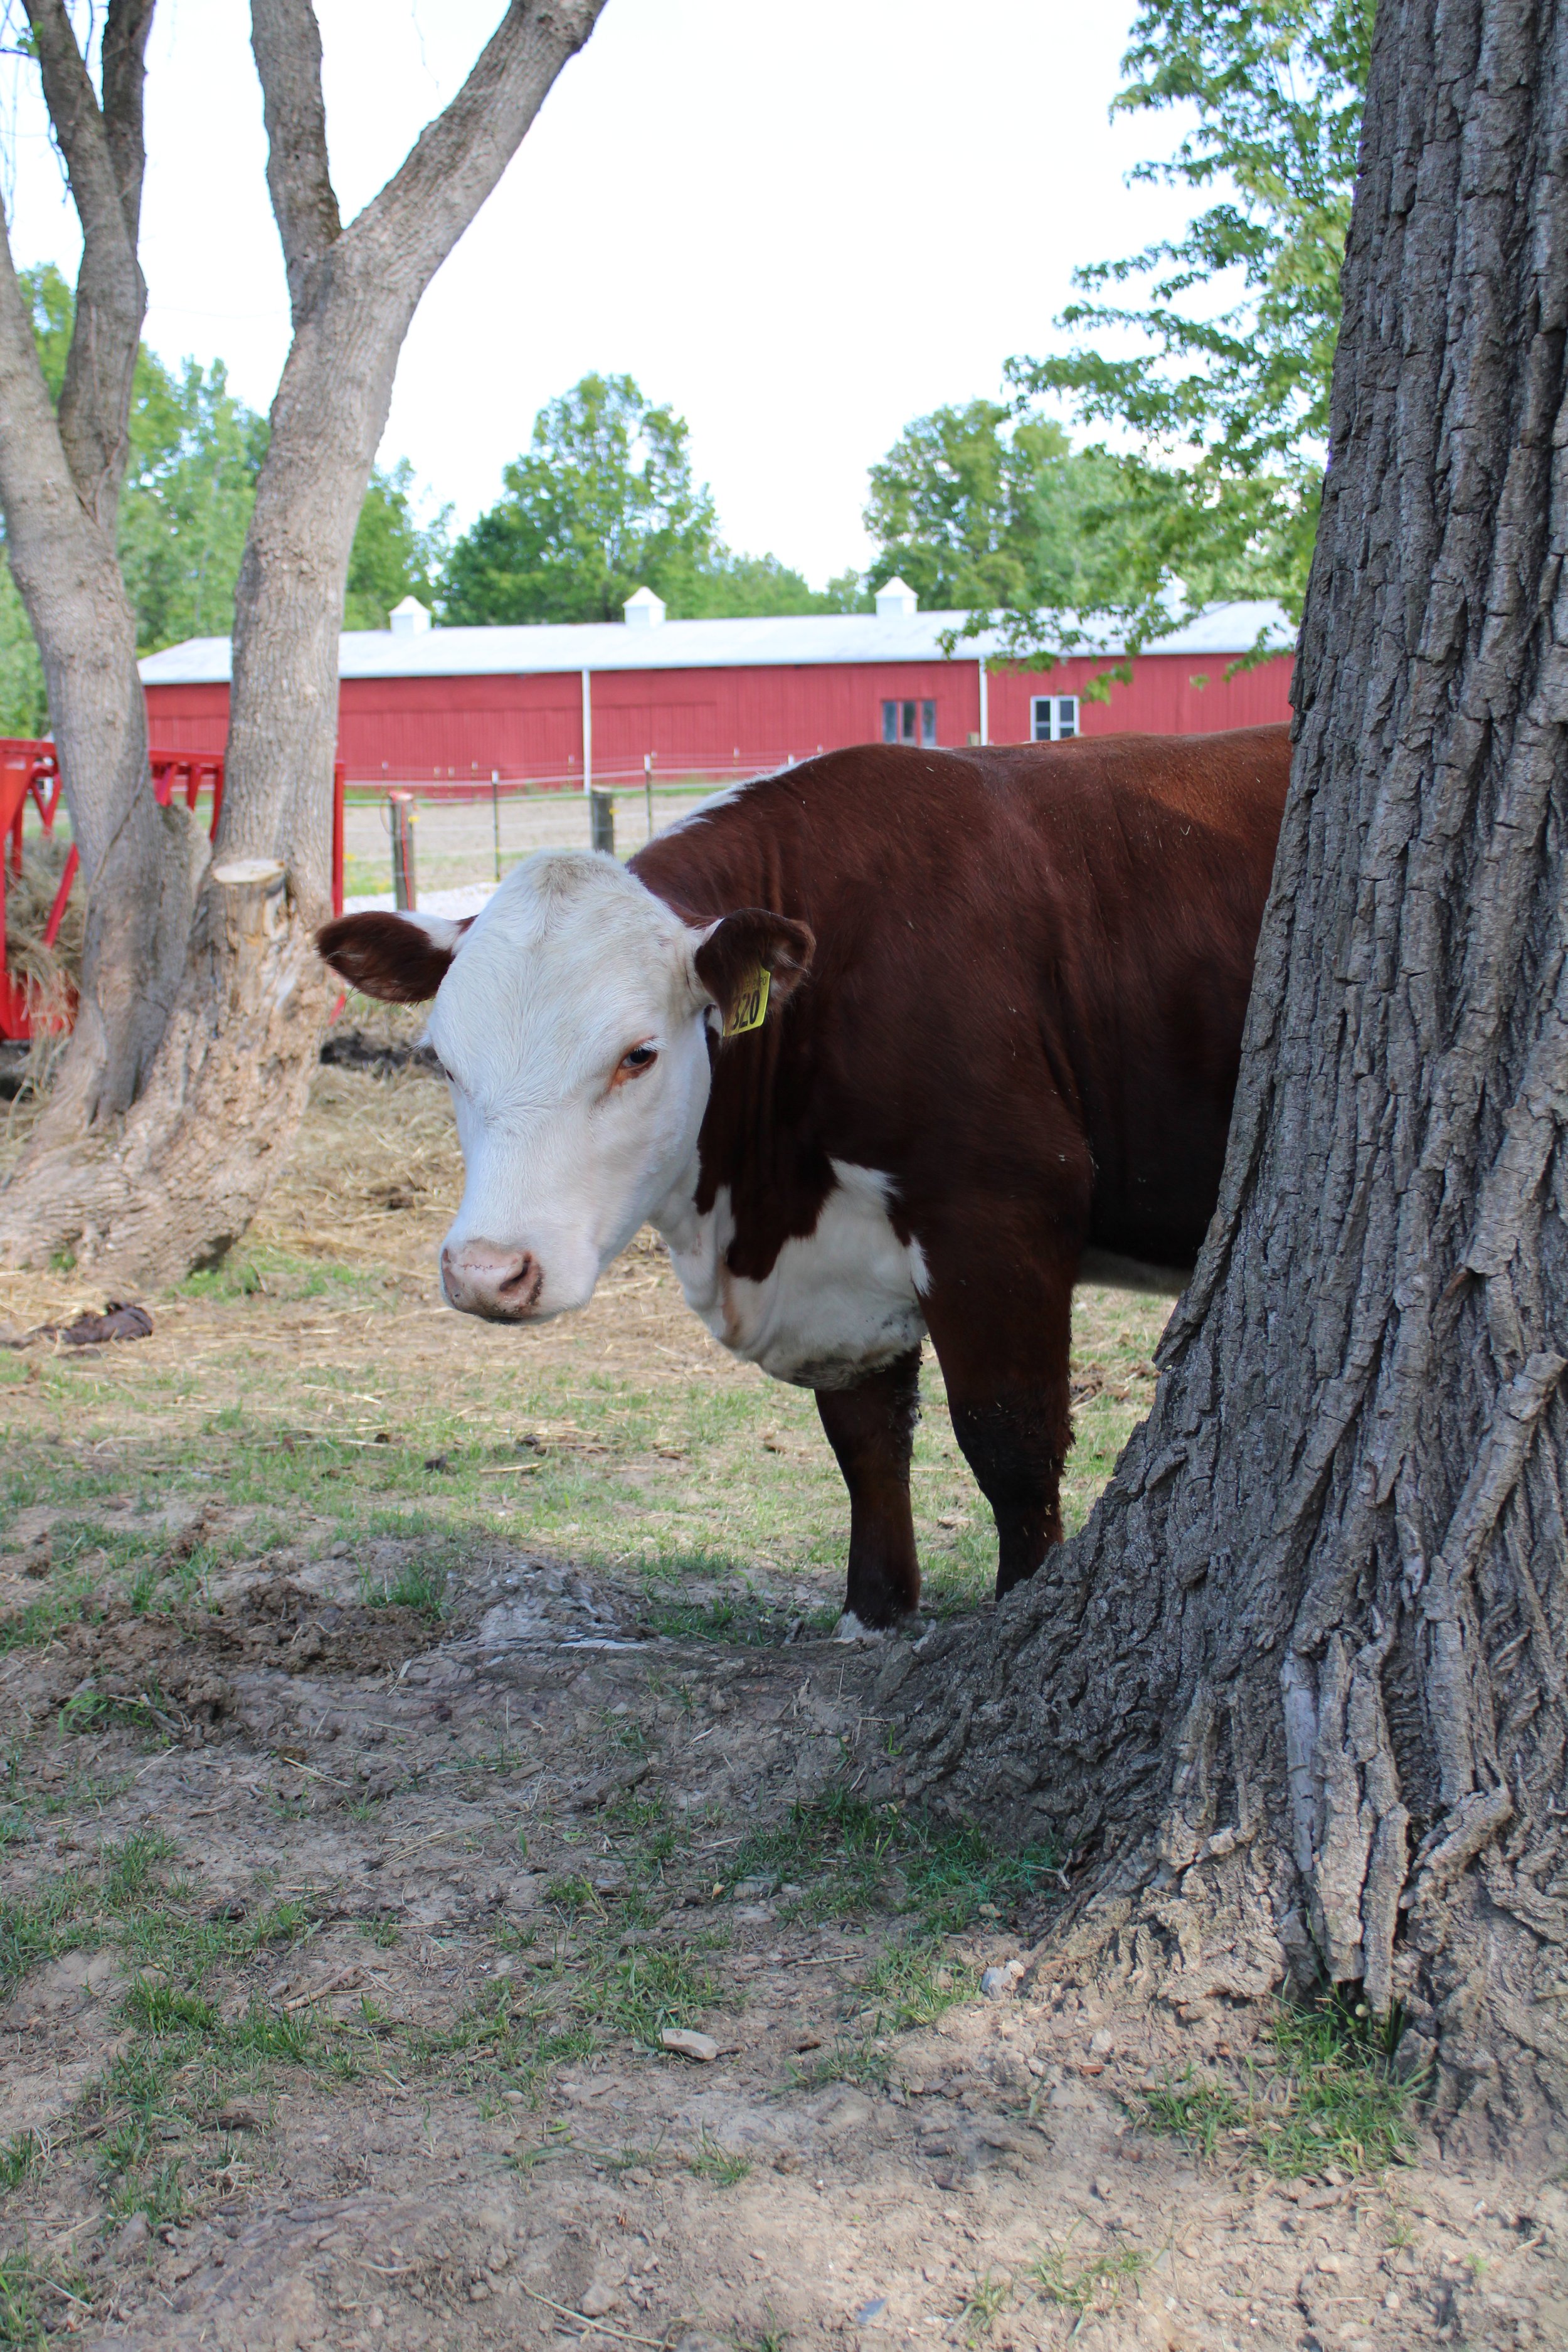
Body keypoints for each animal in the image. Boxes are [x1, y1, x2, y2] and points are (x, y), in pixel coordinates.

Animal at [318, 724, 1290, 1632]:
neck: (761, 1209)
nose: (488, 1272)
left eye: (638, 1054)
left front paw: (1022, 1608)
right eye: (441, 1059)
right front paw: (873, 1615)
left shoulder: (1003, 1215)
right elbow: (864, 1440)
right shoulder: (841, 1275)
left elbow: (1010, 1441)